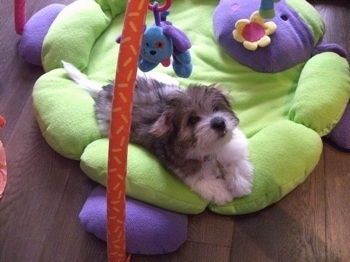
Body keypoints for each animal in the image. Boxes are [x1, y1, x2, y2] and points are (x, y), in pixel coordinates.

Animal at [63, 61, 253, 205]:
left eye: (216, 108)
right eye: (192, 120)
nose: (219, 123)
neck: (211, 150)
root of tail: (108, 90)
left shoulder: (235, 147)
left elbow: (238, 162)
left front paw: (240, 185)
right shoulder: (188, 170)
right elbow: (205, 181)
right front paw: (222, 193)